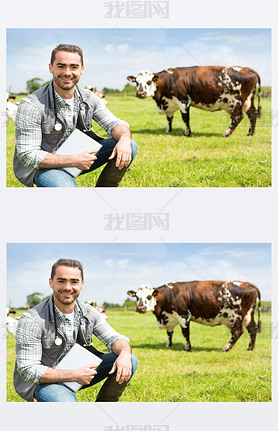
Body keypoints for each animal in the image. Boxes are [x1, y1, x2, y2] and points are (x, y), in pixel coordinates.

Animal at [127, 66, 262, 137]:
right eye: (136, 82)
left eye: (149, 82)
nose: (140, 93)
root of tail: (248, 69)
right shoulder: (170, 103)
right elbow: (169, 118)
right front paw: (168, 130)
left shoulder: (183, 100)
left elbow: (185, 118)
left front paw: (187, 133)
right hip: (249, 100)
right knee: (253, 114)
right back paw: (251, 133)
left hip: (236, 101)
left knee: (238, 117)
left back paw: (226, 133)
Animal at [127, 282, 262, 352]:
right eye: (137, 297)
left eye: (149, 296)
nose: (140, 308)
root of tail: (248, 284)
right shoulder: (171, 318)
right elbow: (169, 333)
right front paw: (168, 345)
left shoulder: (183, 315)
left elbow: (185, 333)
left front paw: (187, 348)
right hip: (249, 315)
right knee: (253, 329)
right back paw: (251, 347)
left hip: (236, 316)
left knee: (238, 331)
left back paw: (226, 348)